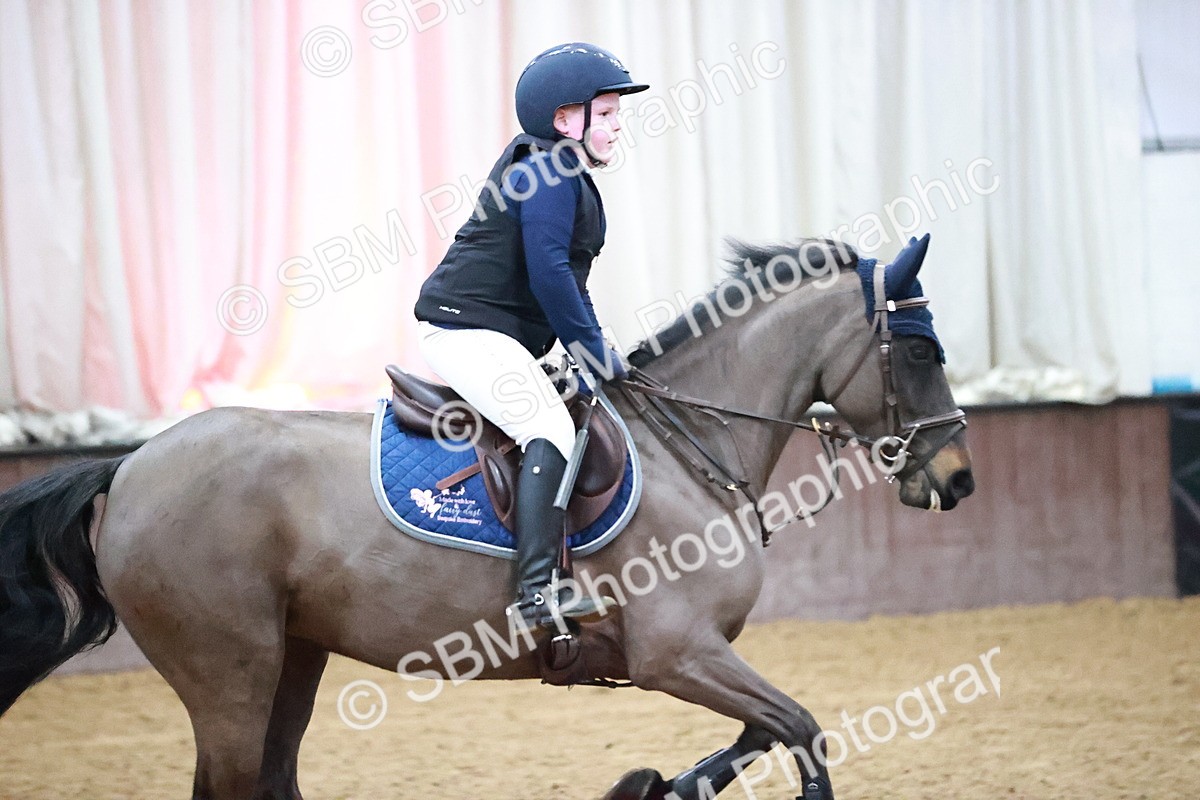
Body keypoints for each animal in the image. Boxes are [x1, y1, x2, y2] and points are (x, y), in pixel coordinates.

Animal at [0, 234, 973, 800]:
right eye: (923, 350)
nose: (959, 479)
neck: (691, 444)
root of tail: (131, 464)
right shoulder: (678, 653)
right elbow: (800, 731)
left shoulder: (695, 657)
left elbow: (764, 732)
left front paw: (652, 786)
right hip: (226, 676)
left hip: (291, 660)